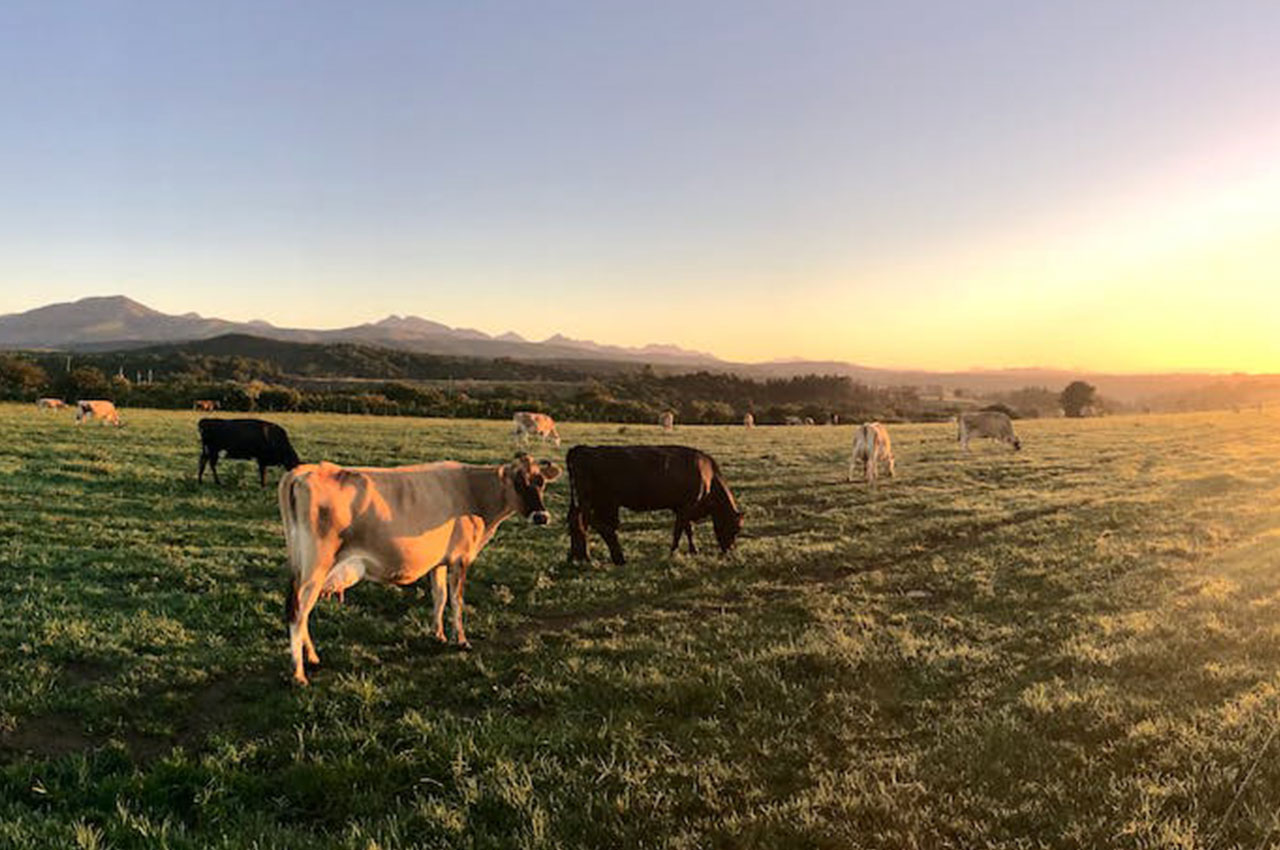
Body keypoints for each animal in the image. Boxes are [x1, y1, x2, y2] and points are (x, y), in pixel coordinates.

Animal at [282, 450, 563, 686]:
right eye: (518, 483)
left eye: (541, 482)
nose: (541, 516)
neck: (472, 491)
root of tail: (305, 471)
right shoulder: (460, 559)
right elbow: (457, 601)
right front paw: (461, 641)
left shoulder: (439, 561)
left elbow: (439, 597)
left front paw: (438, 635)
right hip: (315, 569)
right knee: (298, 613)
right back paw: (298, 673)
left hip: (302, 568)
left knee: (301, 612)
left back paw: (313, 658)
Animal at [568, 445, 747, 563]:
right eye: (736, 529)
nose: (730, 551)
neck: (709, 477)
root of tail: (581, 449)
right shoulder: (687, 506)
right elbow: (679, 531)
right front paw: (673, 552)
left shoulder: (681, 508)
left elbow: (688, 530)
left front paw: (693, 550)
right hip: (598, 501)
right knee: (592, 524)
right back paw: (605, 557)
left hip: (594, 502)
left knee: (577, 521)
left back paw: (575, 557)